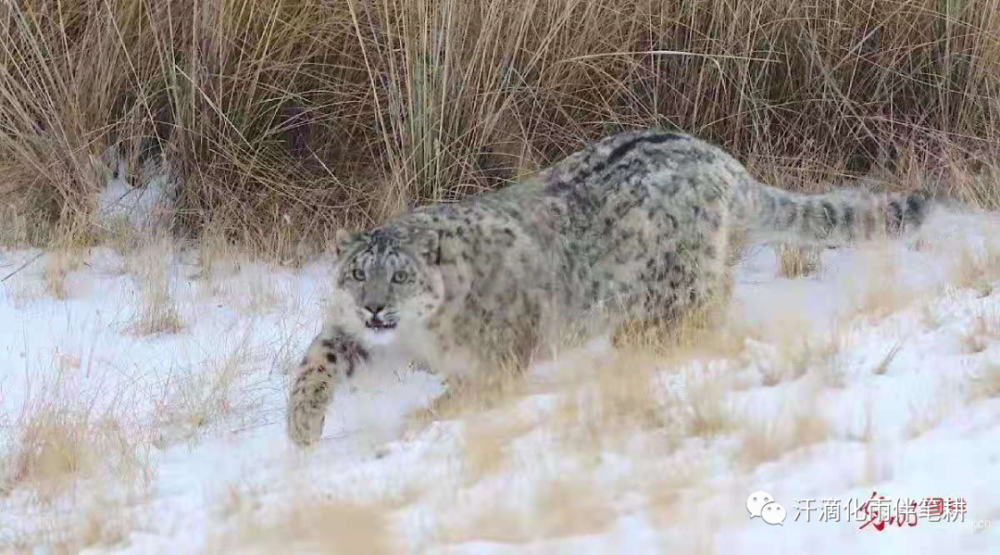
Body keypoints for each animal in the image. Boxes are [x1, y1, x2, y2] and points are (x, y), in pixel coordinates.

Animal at [286, 128, 932, 446]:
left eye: (400, 276)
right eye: (356, 275)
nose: (374, 309)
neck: (419, 335)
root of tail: (721, 160)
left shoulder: (497, 360)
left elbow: (470, 393)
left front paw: (424, 418)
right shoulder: (349, 334)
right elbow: (318, 361)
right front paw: (301, 428)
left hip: (676, 286)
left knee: (700, 319)